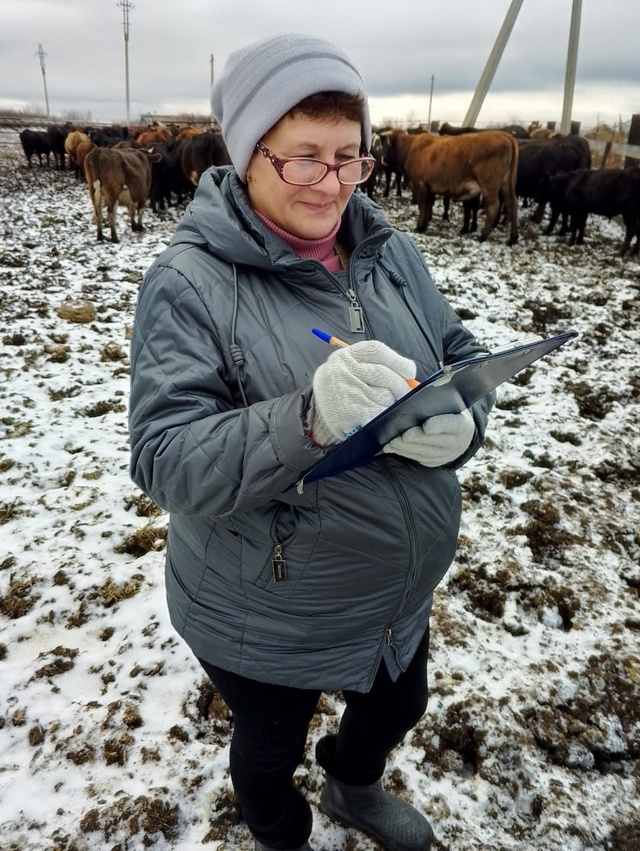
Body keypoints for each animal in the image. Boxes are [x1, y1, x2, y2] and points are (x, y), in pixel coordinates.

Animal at [390, 130, 520, 245]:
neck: (411, 147)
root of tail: (502, 134)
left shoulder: (420, 185)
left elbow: (423, 206)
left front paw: (419, 226)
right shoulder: (430, 188)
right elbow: (428, 206)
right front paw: (424, 225)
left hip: (489, 185)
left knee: (494, 206)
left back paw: (482, 236)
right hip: (507, 184)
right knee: (512, 204)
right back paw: (513, 238)